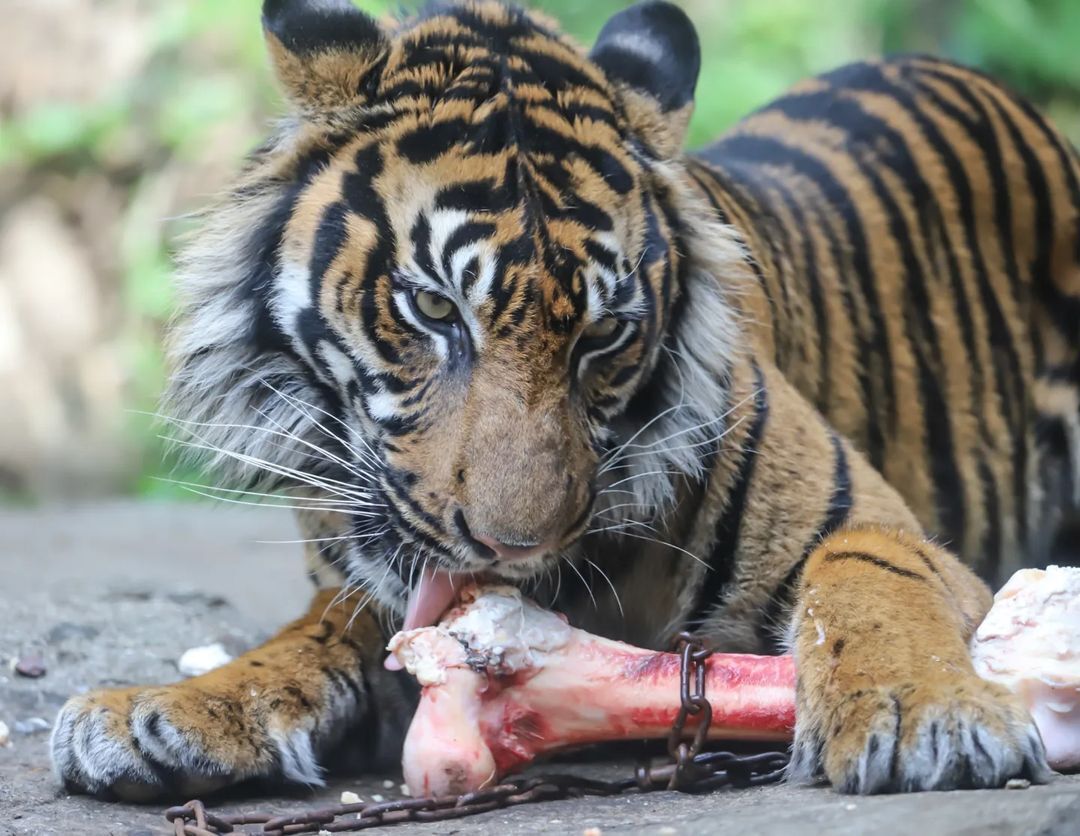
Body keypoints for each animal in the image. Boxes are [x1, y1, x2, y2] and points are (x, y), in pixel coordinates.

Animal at [52, 0, 1080, 803]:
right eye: (435, 308)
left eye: (604, 335)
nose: (514, 548)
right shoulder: (378, 592)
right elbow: (315, 634)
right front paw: (163, 712)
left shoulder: (871, 522)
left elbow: (870, 575)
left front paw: (925, 710)